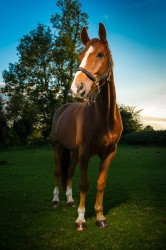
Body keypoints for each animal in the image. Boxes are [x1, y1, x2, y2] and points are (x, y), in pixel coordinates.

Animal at [51, 23, 122, 230]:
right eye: (80, 55)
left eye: (100, 54)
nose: (77, 88)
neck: (104, 118)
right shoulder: (85, 152)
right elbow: (84, 184)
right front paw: (81, 220)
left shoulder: (109, 153)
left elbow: (100, 184)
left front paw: (99, 217)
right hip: (58, 147)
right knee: (58, 171)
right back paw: (56, 200)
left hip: (73, 152)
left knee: (68, 172)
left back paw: (69, 201)